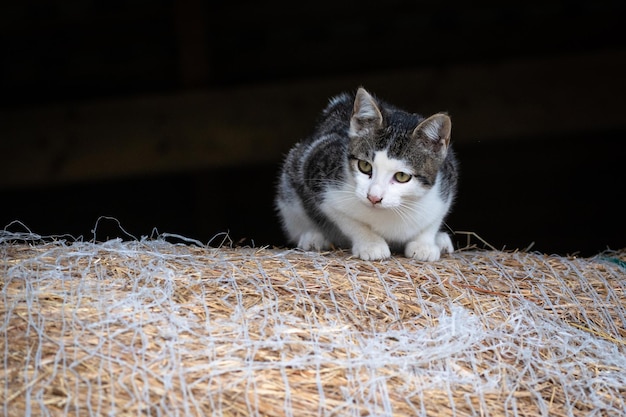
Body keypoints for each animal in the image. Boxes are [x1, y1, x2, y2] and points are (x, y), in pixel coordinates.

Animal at [276, 87, 456, 260]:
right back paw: (313, 238)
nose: (374, 197)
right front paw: (371, 244)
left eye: (402, 176)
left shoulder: (447, 181)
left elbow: (433, 220)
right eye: (364, 166)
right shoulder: (317, 168)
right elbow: (346, 218)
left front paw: (423, 244)